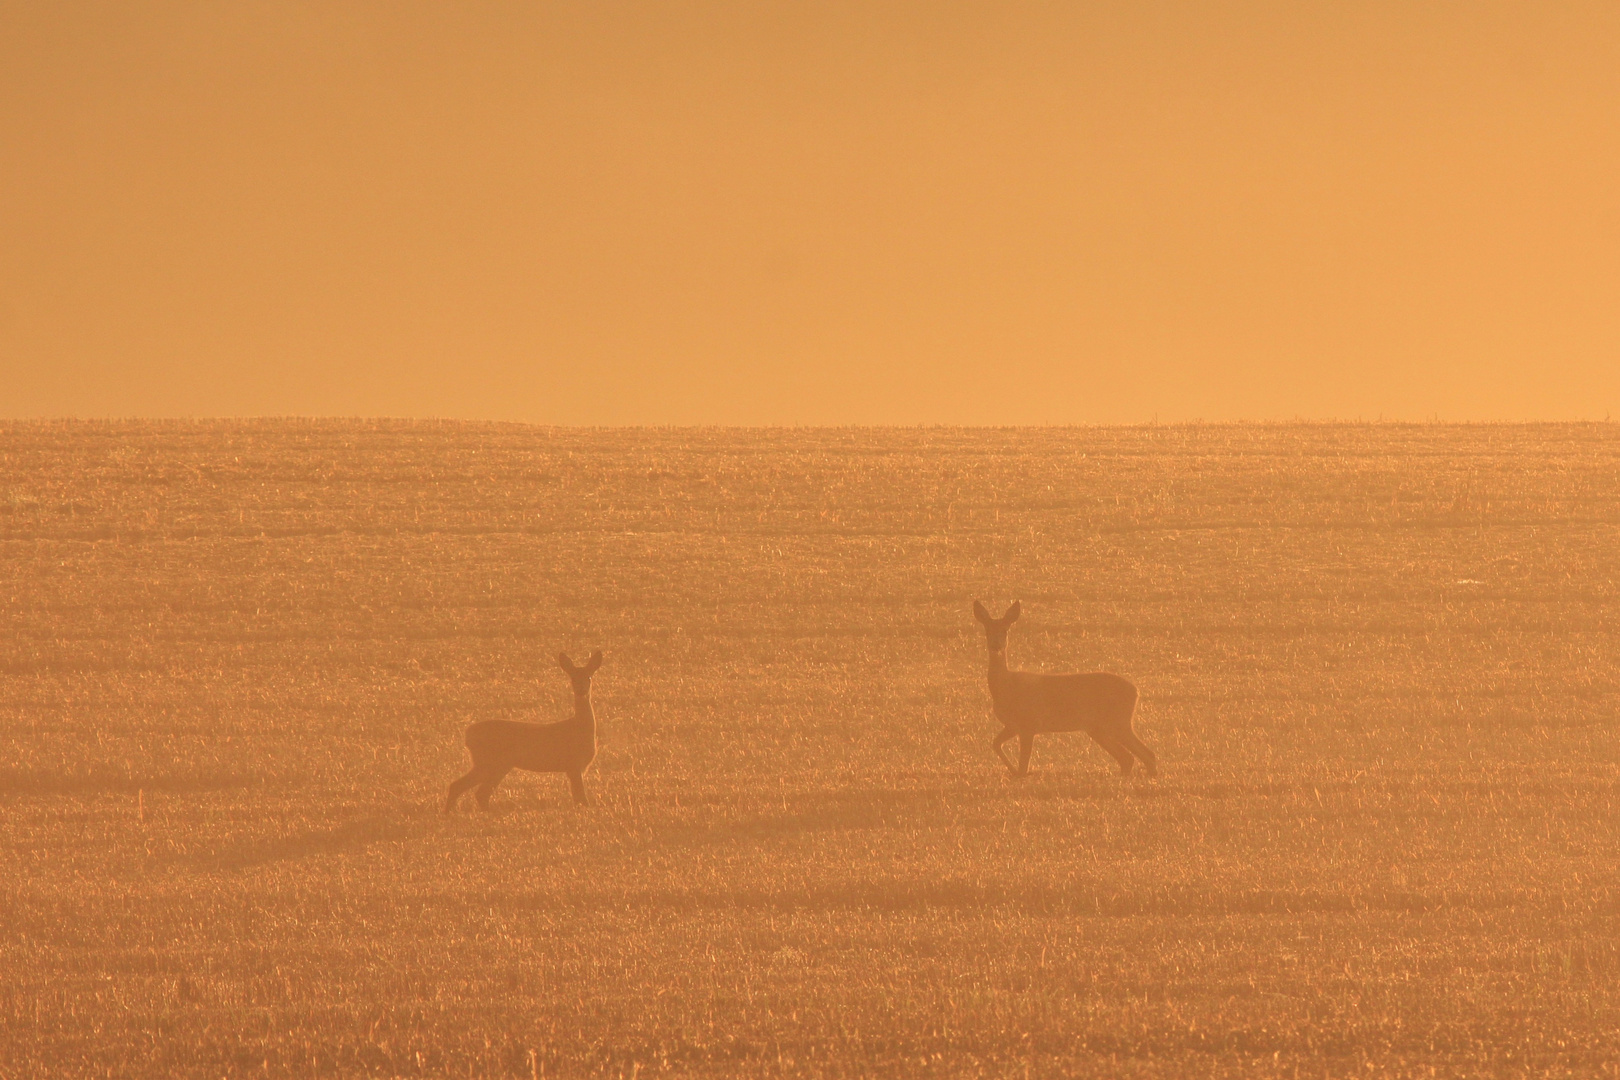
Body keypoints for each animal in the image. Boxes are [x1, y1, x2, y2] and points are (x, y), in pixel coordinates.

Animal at [447, 650, 605, 809]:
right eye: (573, 678)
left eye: (589, 677)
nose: (581, 690)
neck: (580, 728)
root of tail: (468, 734)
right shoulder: (574, 764)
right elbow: (581, 799)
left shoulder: (576, 767)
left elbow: (578, 798)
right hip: (489, 761)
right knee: (471, 790)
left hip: (495, 764)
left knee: (469, 789)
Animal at [965, 605, 1159, 780]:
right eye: (987, 629)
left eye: (1005, 630)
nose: (996, 645)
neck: (1006, 686)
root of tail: (1136, 691)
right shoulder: (1012, 726)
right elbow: (995, 744)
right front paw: (1014, 772)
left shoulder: (1029, 723)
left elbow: (1023, 764)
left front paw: (1022, 774)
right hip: (1098, 728)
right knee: (1128, 757)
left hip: (1118, 721)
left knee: (1145, 754)